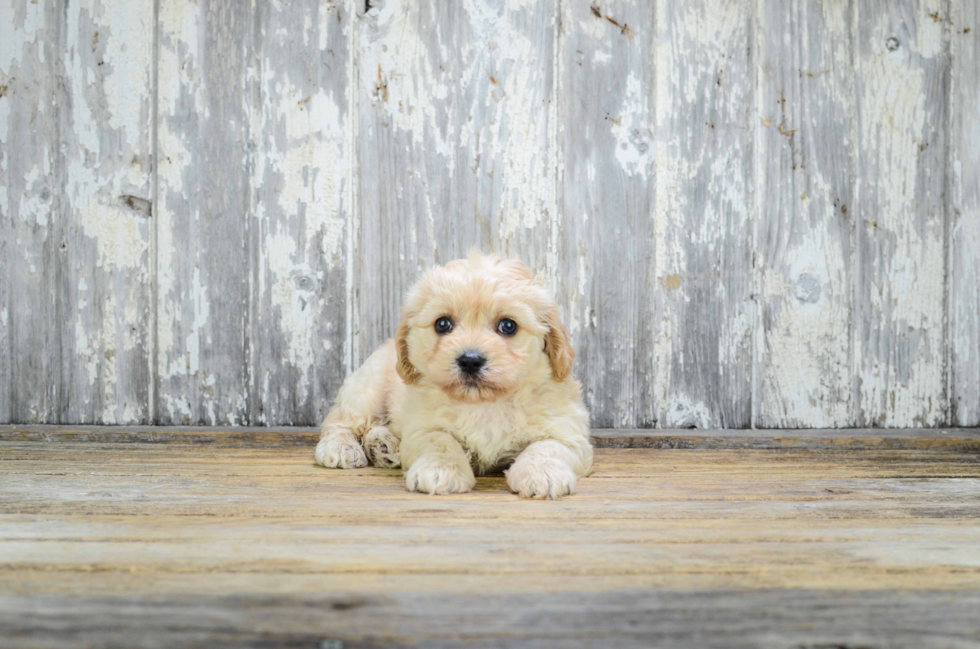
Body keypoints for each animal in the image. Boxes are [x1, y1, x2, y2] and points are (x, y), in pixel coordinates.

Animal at [316, 252, 588, 496]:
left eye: (508, 326)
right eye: (443, 324)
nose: (470, 361)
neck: (484, 403)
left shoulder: (567, 430)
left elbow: (548, 446)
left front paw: (542, 474)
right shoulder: (423, 426)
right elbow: (440, 443)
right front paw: (440, 472)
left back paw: (384, 446)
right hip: (366, 389)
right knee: (340, 421)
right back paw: (342, 447)